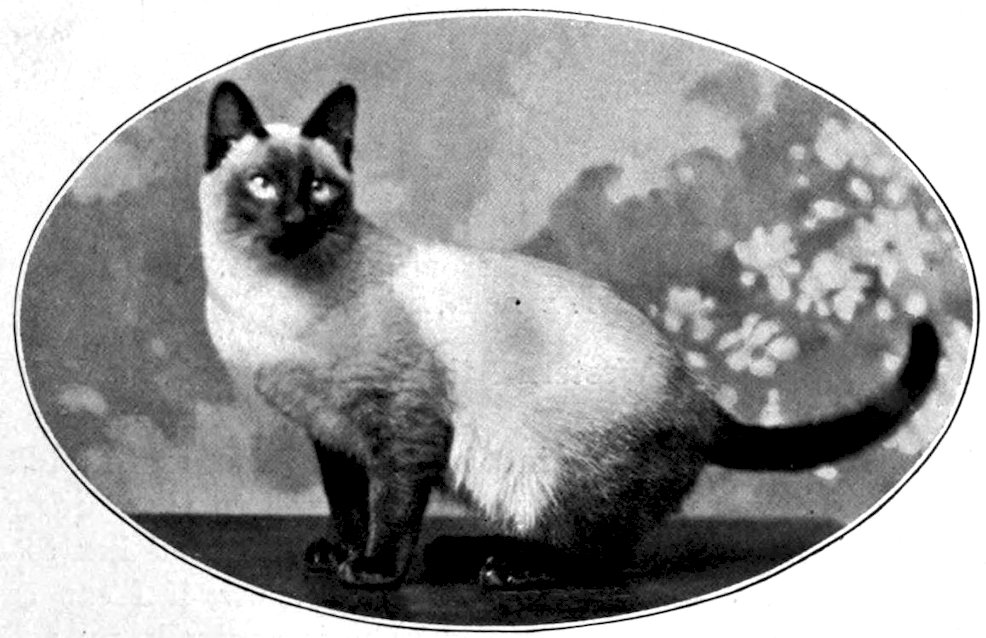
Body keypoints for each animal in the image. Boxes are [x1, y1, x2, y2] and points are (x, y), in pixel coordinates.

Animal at [199, 80, 941, 589]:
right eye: (263, 185)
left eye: (320, 189)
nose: (297, 220)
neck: (274, 305)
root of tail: (699, 396)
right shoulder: (332, 432)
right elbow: (349, 504)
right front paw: (340, 554)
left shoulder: (401, 428)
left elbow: (392, 507)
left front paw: (375, 569)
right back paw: (466, 552)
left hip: (555, 468)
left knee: (597, 555)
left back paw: (506, 567)